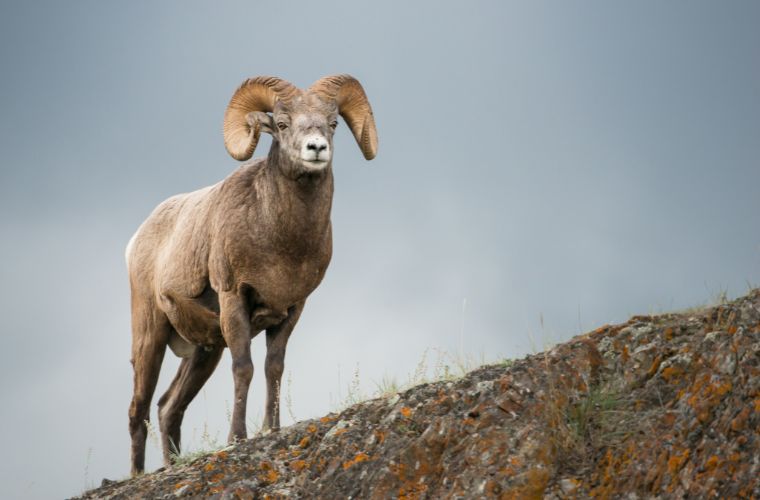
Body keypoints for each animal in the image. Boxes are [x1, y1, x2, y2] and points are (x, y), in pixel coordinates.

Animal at [126, 73, 378, 472]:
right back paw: (139, 475)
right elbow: (243, 368)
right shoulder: (235, 301)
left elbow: (274, 367)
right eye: (282, 124)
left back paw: (171, 465)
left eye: (333, 124)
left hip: (204, 351)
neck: (281, 242)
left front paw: (271, 430)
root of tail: (137, 240)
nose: (316, 148)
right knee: (139, 410)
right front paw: (237, 438)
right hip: (150, 334)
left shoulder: (291, 310)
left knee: (169, 408)